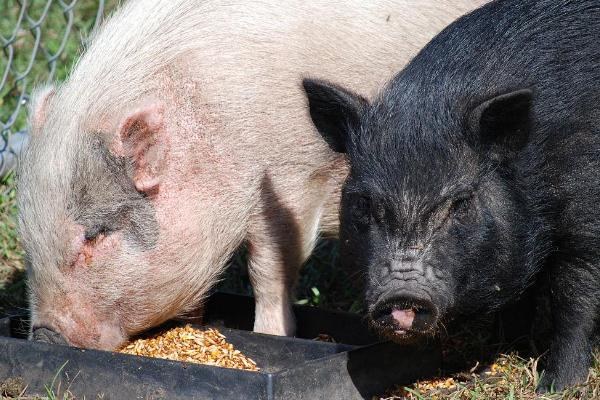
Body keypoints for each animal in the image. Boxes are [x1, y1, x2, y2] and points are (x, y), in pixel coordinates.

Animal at [304, 0, 600, 390]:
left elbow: (575, 298)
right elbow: (516, 301)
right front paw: (492, 366)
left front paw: (556, 387)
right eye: (364, 203)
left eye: (460, 203)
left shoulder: (586, 223)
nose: (402, 295)